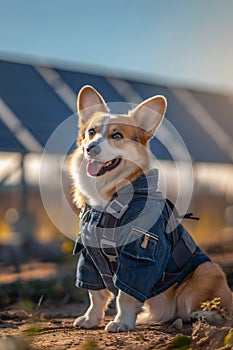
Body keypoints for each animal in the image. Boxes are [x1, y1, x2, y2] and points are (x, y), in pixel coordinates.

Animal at [70, 84, 232, 330]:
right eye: (91, 132)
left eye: (117, 136)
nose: (90, 148)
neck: (108, 200)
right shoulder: (88, 257)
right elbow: (95, 295)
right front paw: (90, 319)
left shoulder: (140, 255)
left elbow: (125, 296)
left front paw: (121, 322)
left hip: (206, 271)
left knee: (219, 312)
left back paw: (200, 316)